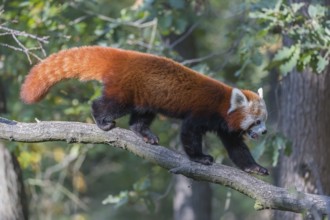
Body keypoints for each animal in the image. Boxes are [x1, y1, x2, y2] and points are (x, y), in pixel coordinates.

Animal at [20, 46, 268, 175]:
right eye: (257, 121)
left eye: (264, 120)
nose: (265, 132)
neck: (223, 105)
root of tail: (124, 56)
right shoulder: (202, 112)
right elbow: (189, 133)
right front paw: (200, 158)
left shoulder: (226, 127)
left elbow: (237, 149)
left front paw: (255, 167)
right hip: (125, 92)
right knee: (109, 104)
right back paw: (102, 120)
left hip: (147, 96)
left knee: (140, 118)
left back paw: (145, 134)